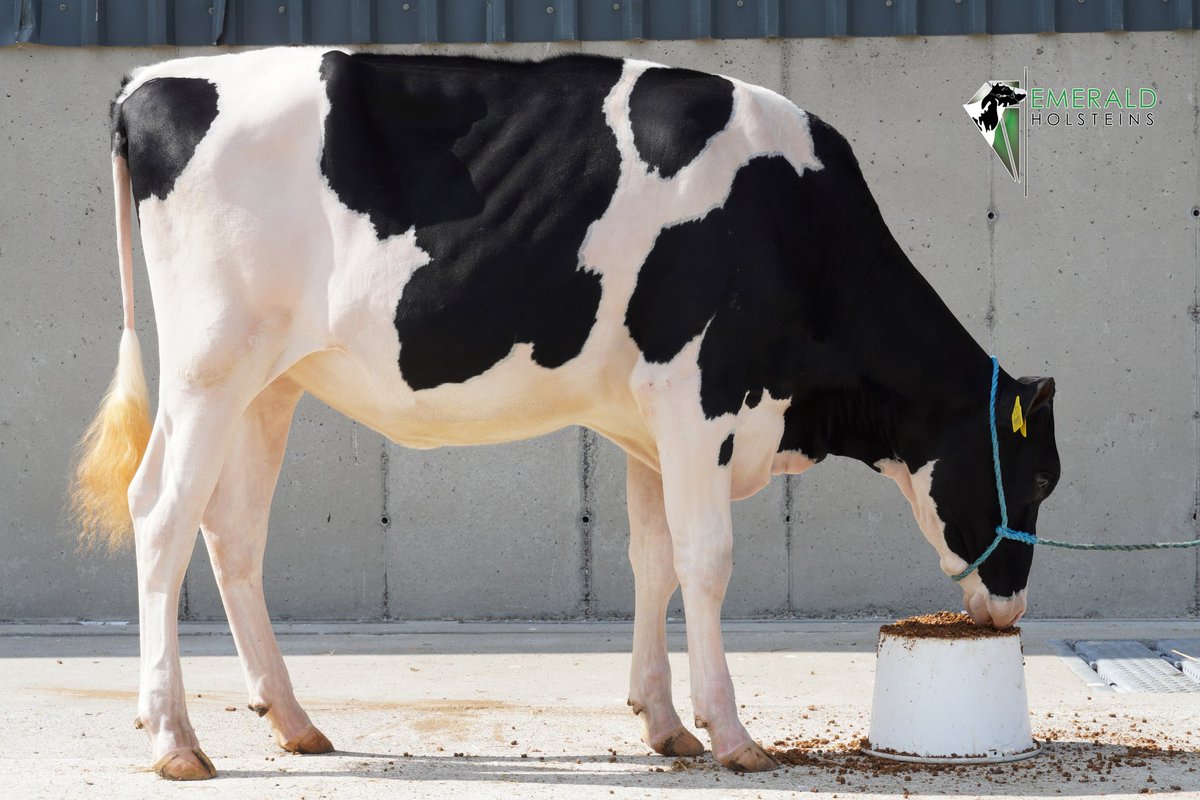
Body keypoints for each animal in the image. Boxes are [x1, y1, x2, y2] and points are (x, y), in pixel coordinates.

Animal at [71, 48, 1061, 780]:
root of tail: (153, 79)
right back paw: (174, 740)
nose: (1010, 610)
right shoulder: (698, 396)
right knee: (161, 513)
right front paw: (733, 734)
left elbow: (651, 561)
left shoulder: (648, 422)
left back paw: (292, 720)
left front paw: (665, 723)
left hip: (268, 381)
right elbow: (706, 564)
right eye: (1042, 475)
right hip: (208, 365)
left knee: (232, 531)